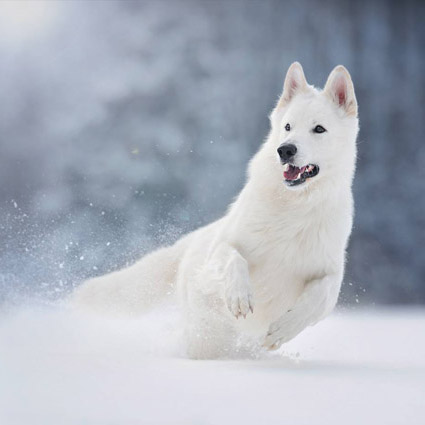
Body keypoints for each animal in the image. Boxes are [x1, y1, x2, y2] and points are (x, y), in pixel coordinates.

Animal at [73, 63, 358, 358]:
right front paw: (239, 297)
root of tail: (187, 245)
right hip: (204, 337)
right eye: (288, 126)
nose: (285, 149)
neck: (294, 206)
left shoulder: (330, 271)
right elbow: (233, 257)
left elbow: (322, 296)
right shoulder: (224, 247)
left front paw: (283, 329)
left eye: (319, 129)